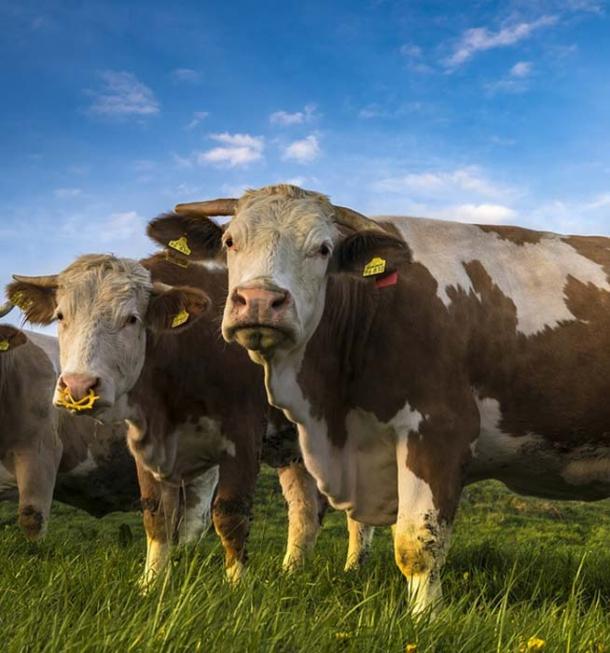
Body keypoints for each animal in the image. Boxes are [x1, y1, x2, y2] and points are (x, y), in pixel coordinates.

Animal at [145, 183, 610, 614]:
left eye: (323, 248)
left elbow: (418, 542)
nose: (259, 300)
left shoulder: (439, 430)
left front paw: (426, 618)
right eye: (230, 241)